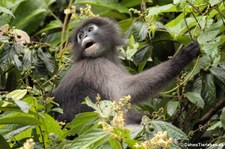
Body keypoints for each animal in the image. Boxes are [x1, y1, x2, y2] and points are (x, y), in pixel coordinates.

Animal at [51, 16, 200, 124]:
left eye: (90, 29)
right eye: (80, 36)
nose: (84, 37)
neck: (104, 55)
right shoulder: (96, 65)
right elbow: (125, 91)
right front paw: (181, 58)